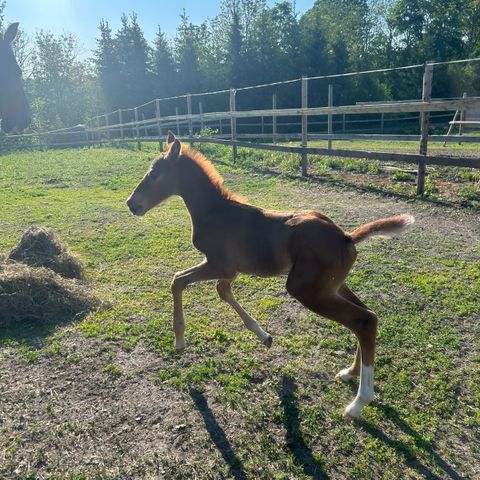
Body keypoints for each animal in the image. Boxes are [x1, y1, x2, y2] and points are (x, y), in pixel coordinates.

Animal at [126, 133, 412, 418]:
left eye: (154, 174)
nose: (131, 204)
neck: (215, 212)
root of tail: (346, 237)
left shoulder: (221, 265)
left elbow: (178, 281)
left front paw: (179, 340)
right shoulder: (231, 270)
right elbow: (222, 291)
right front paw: (264, 337)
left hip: (306, 289)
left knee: (363, 321)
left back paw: (358, 402)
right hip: (333, 286)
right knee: (368, 316)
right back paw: (350, 373)